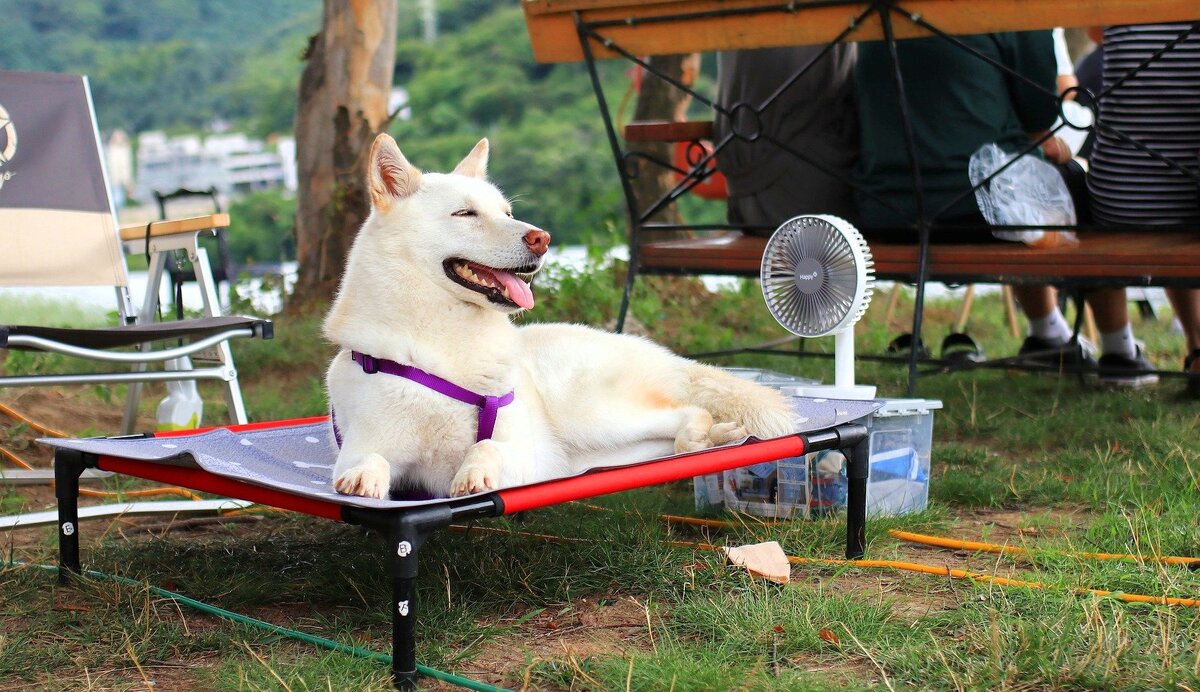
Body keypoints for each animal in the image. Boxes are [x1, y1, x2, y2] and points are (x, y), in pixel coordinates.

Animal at [324, 134, 796, 499]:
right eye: (464, 213)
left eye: (507, 213)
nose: (542, 238)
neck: (443, 347)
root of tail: (662, 355)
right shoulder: (363, 445)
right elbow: (368, 459)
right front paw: (365, 476)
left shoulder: (523, 457)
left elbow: (486, 448)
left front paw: (475, 471)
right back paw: (714, 438)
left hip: (592, 414)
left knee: (690, 410)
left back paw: (704, 434)